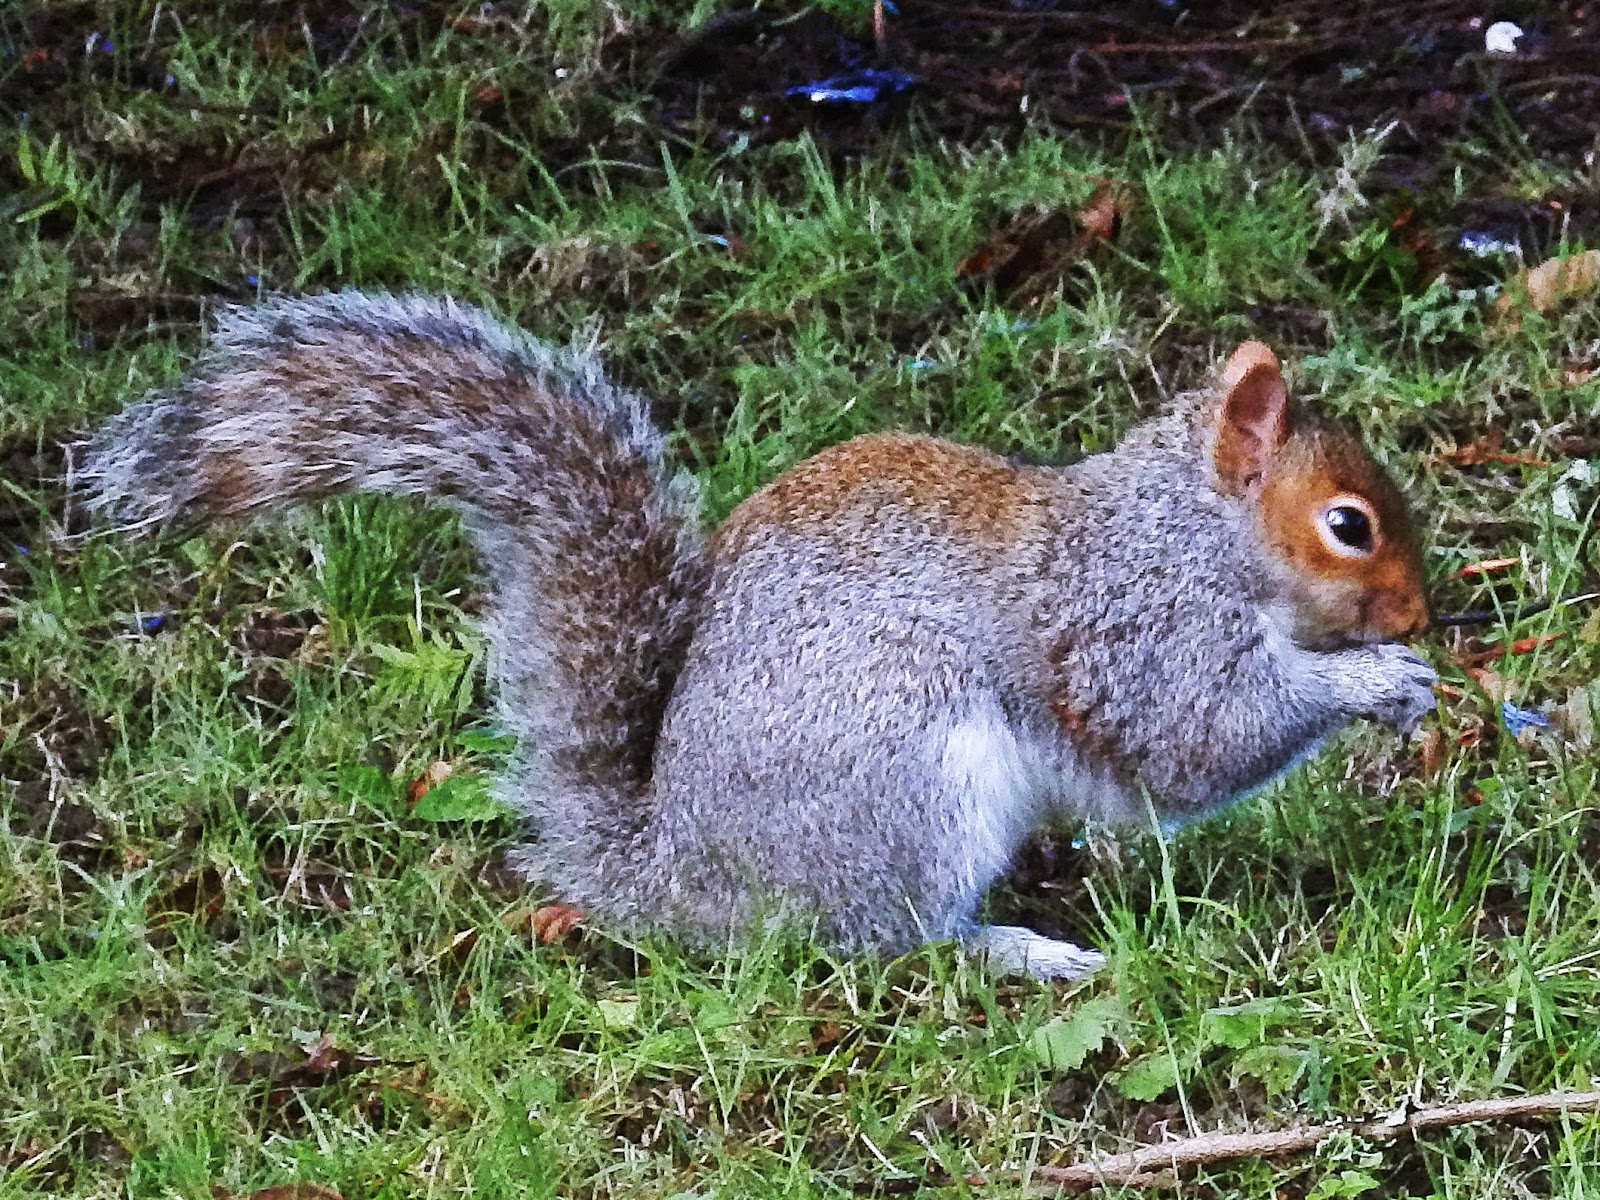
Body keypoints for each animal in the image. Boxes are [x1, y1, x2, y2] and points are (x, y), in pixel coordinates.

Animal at [81, 292, 1437, 979]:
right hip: (907, 784)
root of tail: (680, 876)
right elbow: (1196, 740)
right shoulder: (1136, 629)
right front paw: (1373, 681)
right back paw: (1018, 948)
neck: (1188, 534)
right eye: (1348, 525)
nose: (1424, 613)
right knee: (888, 944)